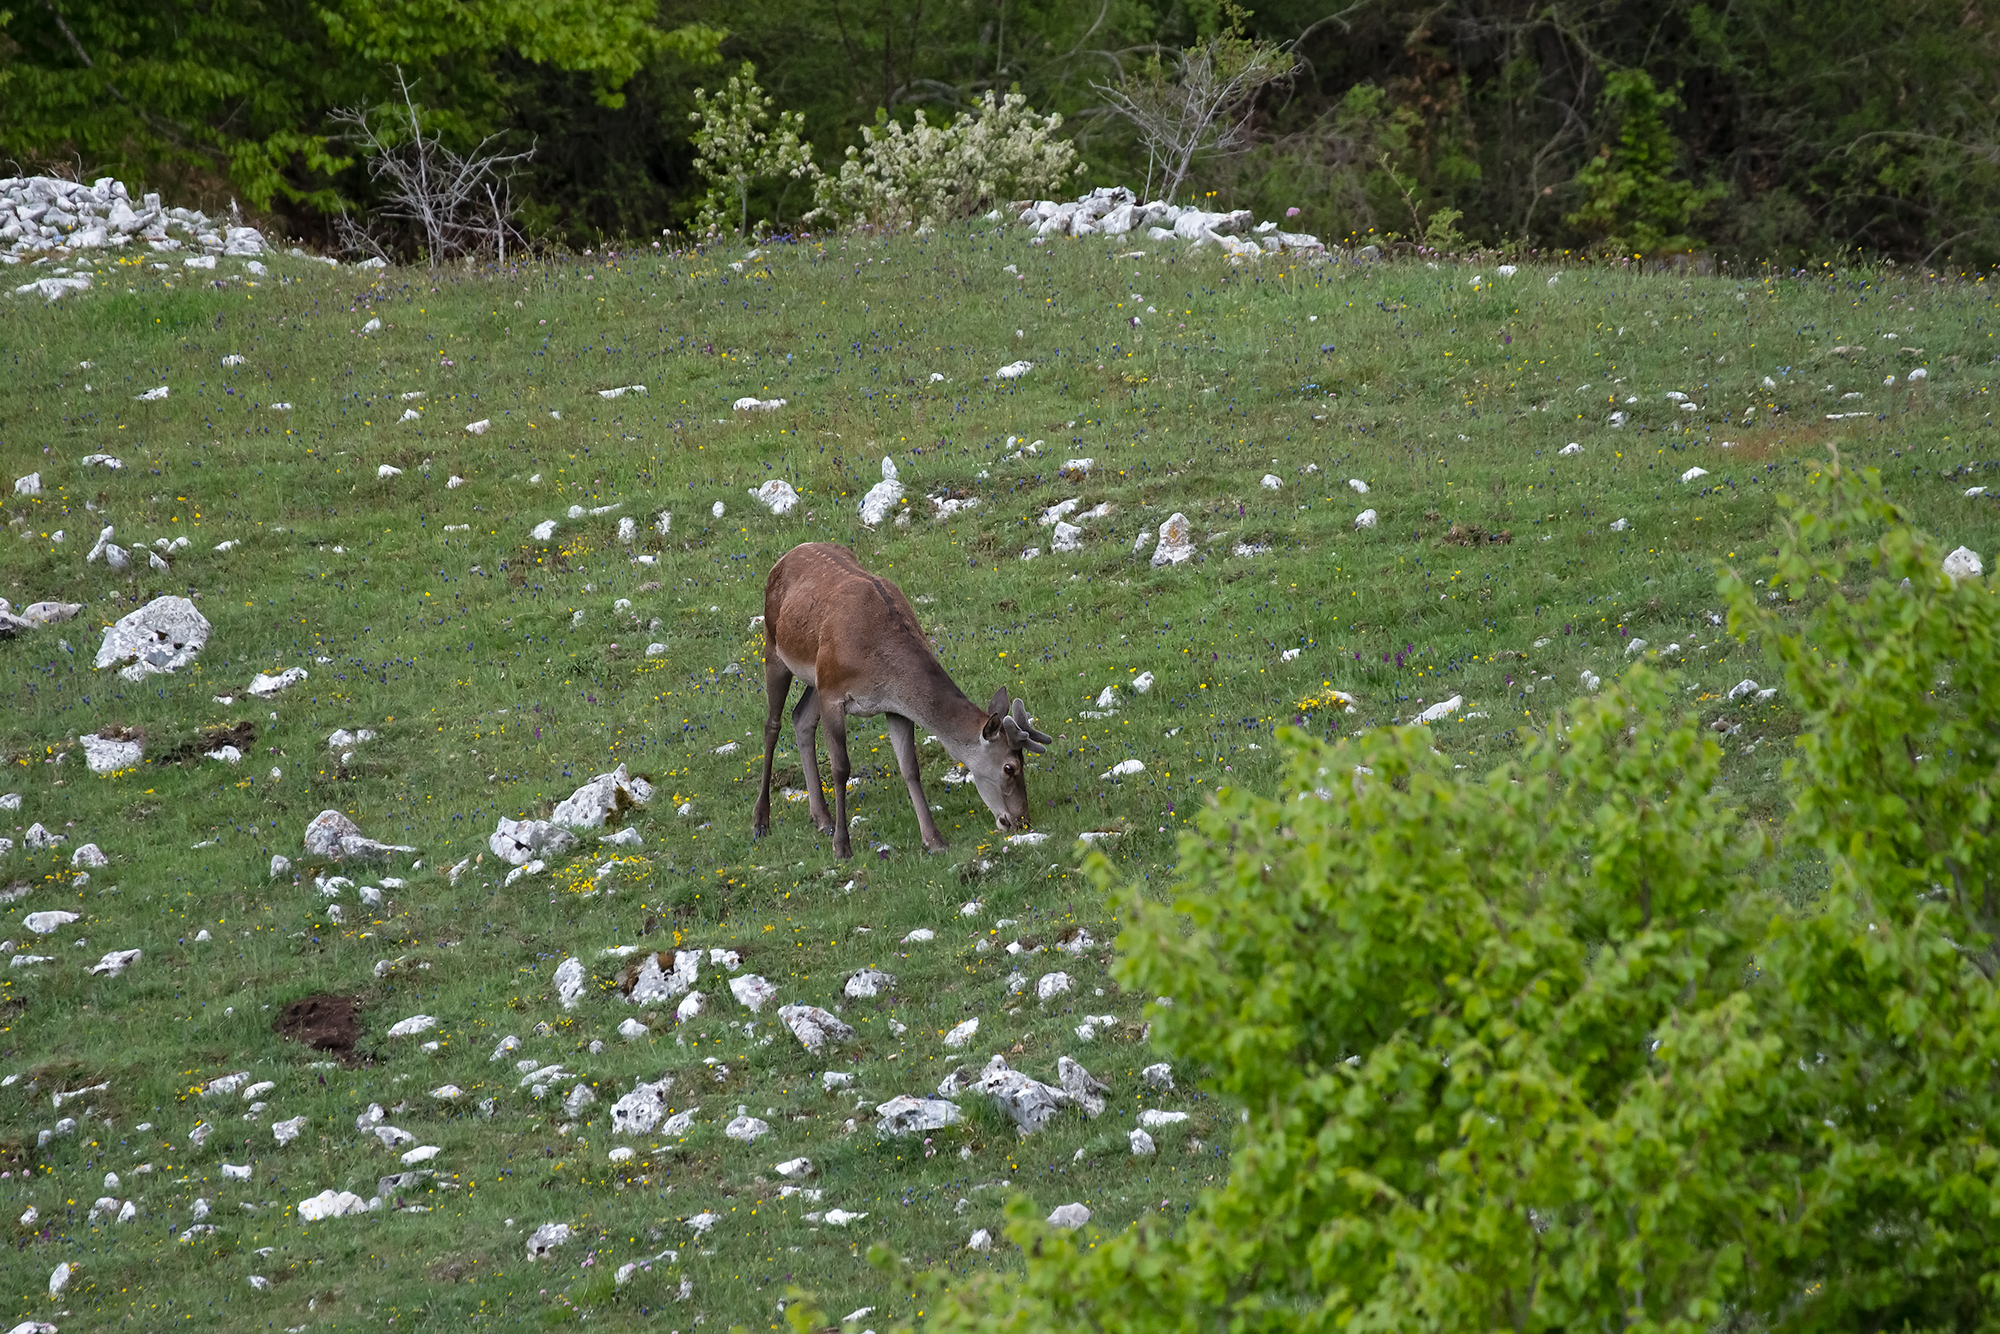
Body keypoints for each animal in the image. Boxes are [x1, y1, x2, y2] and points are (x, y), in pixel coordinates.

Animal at [753, 542, 1052, 859]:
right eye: (1010, 767)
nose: (1021, 820)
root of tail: (788, 554)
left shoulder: (894, 707)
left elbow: (910, 768)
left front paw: (934, 840)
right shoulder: (833, 693)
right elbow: (840, 768)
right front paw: (842, 846)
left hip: (814, 677)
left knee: (801, 718)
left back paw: (822, 818)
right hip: (775, 646)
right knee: (772, 725)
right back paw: (761, 820)